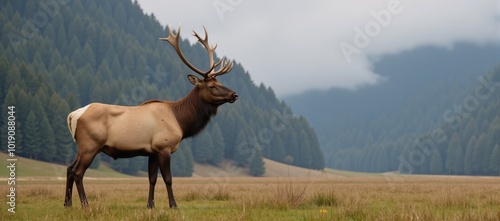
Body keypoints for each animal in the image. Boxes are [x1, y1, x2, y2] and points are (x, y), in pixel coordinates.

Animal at [64, 26, 238, 209]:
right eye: (212, 86)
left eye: (220, 83)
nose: (234, 94)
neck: (181, 122)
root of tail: (73, 115)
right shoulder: (164, 146)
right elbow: (168, 179)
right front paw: (173, 205)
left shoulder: (152, 151)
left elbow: (152, 179)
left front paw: (150, 205)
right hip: (90, 145)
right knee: (77, 172)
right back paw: (85, 205)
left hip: (82, 146)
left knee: (69, 169)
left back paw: (67, 203)